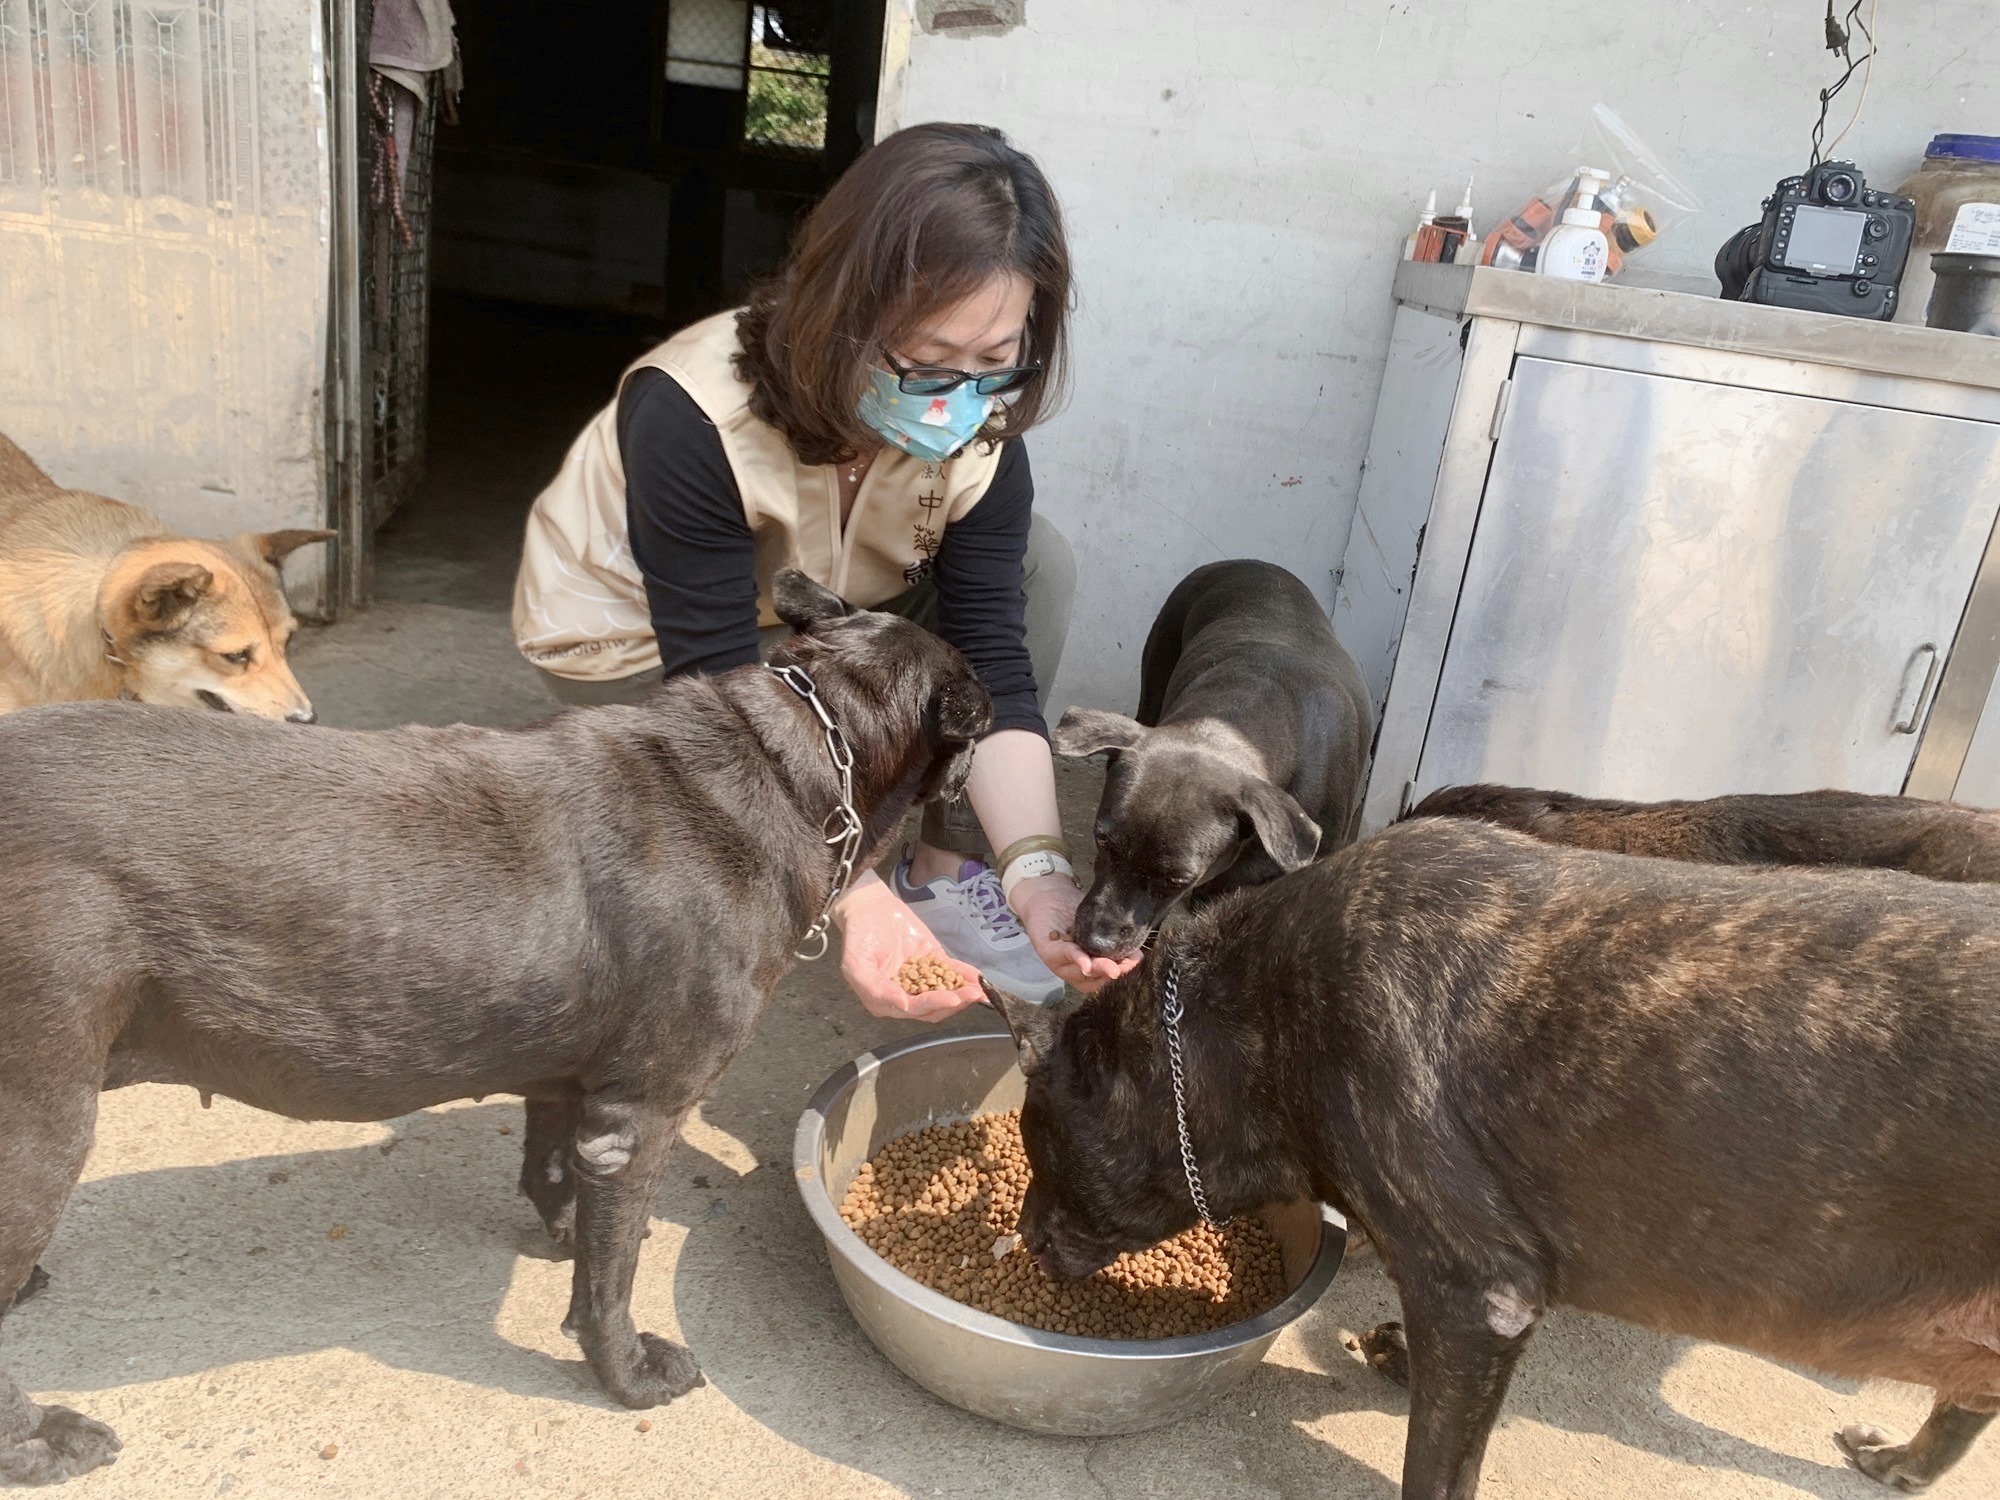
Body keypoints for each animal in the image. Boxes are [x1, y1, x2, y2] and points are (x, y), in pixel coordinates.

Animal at [0, 568, 992, 1488]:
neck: (799, 754)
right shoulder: (642, 1115)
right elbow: (613, 1280)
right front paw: (627, 1372)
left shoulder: (575, 1088)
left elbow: (555, 1171)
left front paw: (568, 1235)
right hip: (42, 1118)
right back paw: (45, 1440)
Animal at [992, 816, 2000, 1496]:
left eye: (1046, 1148)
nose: (1026, 1241)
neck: (1248, 1018)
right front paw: (1396, 1355)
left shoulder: (1478, 1294)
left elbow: (1438, 1466)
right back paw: (1900, 1462)